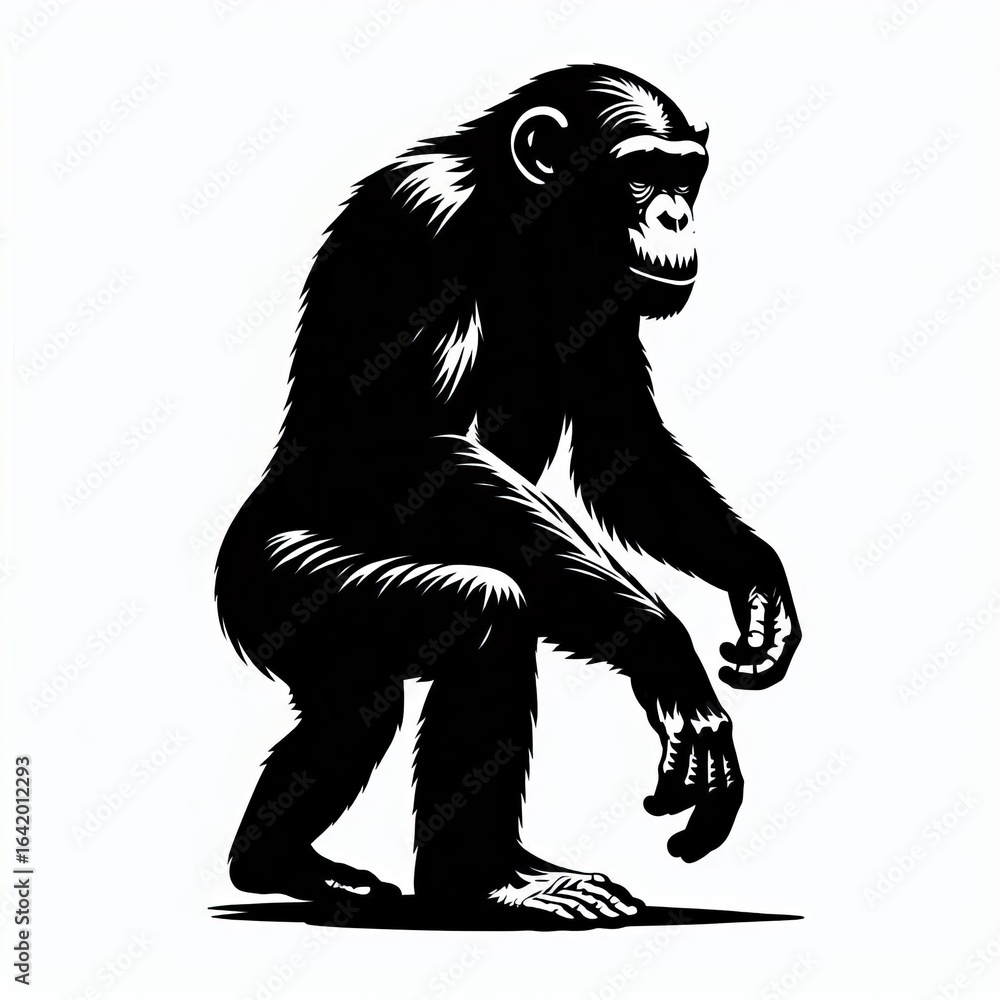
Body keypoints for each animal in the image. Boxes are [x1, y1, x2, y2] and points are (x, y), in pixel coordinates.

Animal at [214, 64, 801, 923]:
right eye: (640, 173)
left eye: (686, 175)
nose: (676, 214)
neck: (520, 226)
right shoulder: (418, 218)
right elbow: (405, 439)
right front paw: (670, 661)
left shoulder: (609, 294)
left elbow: (621, 448)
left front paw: (757, 588)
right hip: (278, 586)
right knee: (477, 617)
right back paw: (479, 880)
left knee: (351, 706)